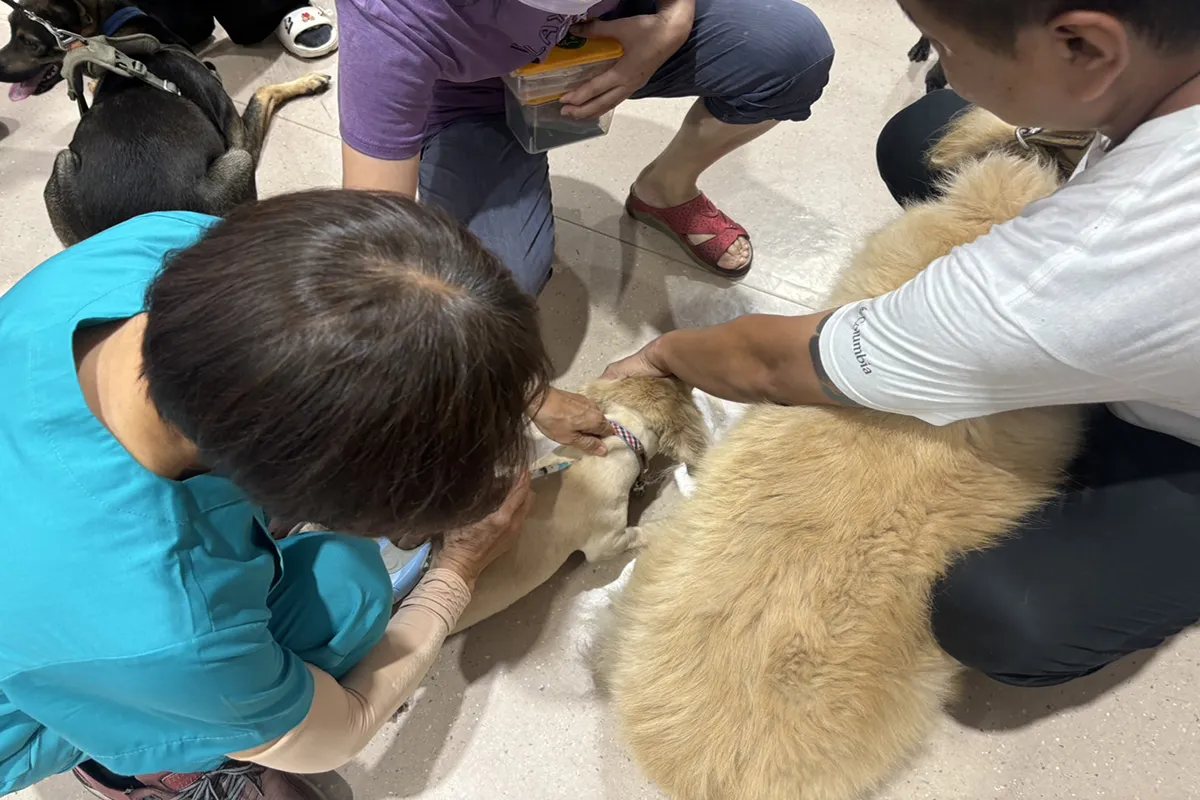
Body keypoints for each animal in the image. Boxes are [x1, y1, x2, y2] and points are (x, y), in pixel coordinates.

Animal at [0, 0, 329, 245]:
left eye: (29, 42)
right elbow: (262, 92)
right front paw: (309, 81)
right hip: (239, 161)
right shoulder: (240, 138)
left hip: (63, 166)